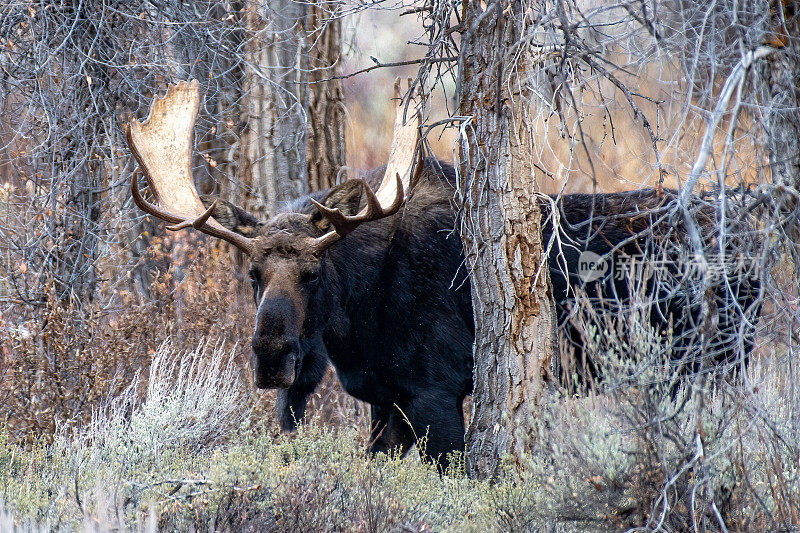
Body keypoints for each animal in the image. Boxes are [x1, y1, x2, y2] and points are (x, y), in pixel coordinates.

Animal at [123, 78, 756, 466]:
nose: (272, 355)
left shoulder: (438, 390)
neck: (357, 327)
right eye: (252, 273)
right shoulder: (385, 399)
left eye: (313, 272)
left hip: (715, 364)